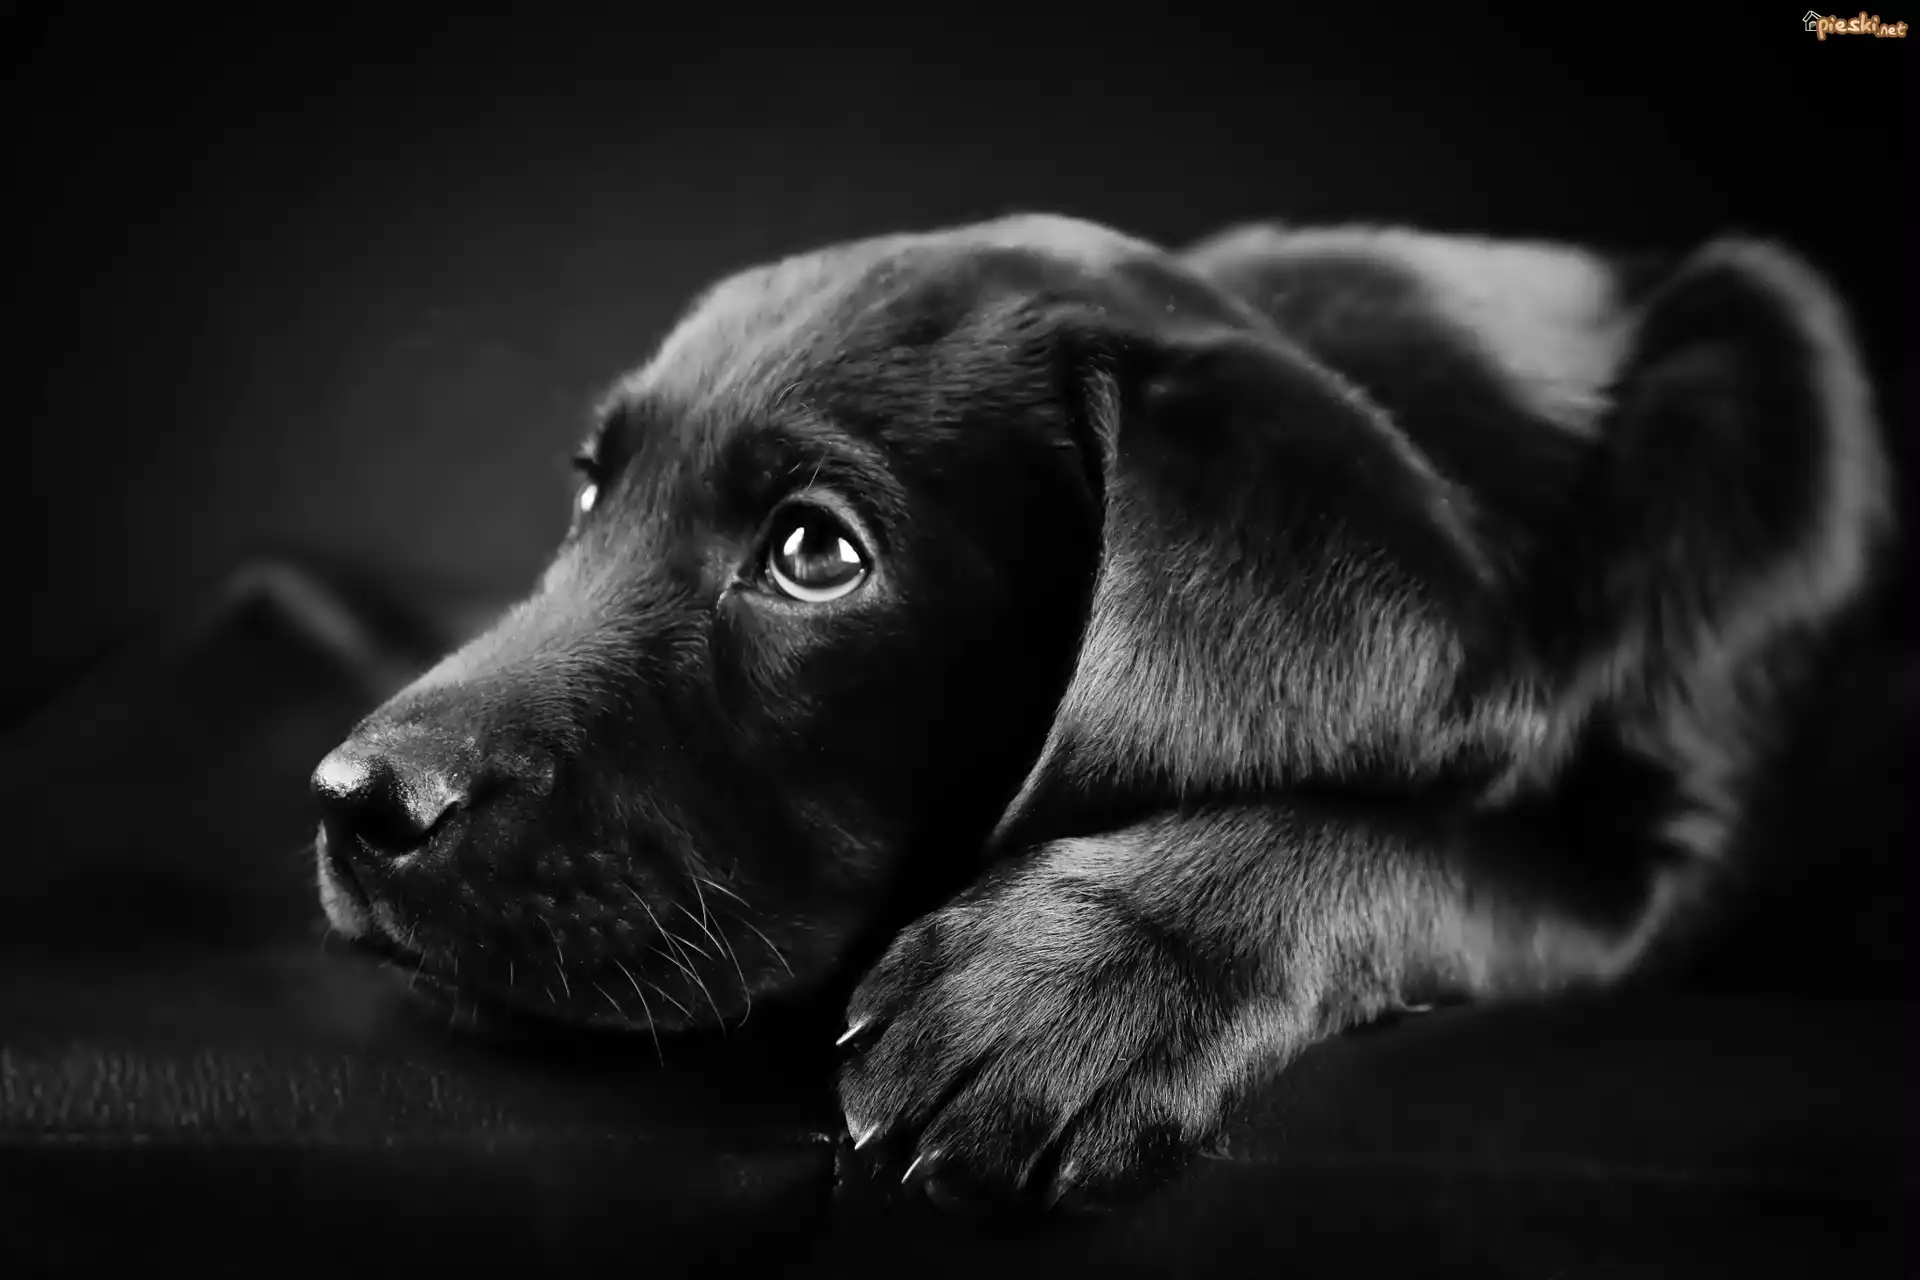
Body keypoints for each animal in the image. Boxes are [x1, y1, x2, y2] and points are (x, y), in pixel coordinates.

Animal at [310, 213, 1894, 1210]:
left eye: (817, 553)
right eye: (591, 494)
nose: (350, 800)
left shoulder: (1641, 878)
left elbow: (1419, 845)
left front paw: (1074, 984)